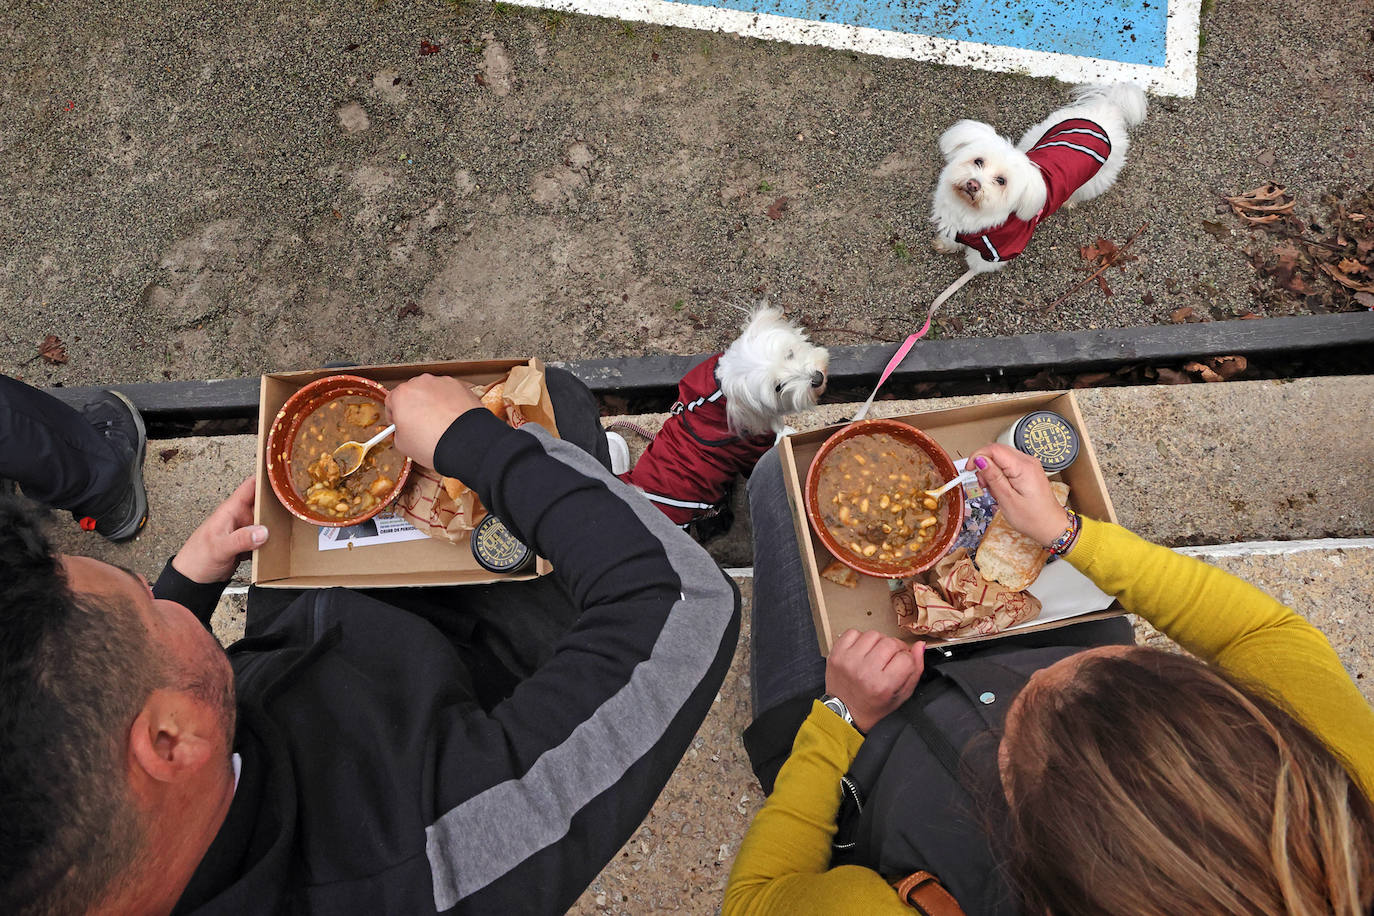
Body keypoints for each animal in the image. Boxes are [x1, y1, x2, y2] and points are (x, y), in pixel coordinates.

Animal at [934, 84, 1148, 274]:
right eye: (978, 161)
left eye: (1001, 181)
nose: (973, 184)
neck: (969, 213)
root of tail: (1107, 109)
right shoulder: (954, 224)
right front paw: (945, 244)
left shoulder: (1000, 250)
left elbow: (978, 263)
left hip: (1096, 179)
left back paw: (1069, 202)